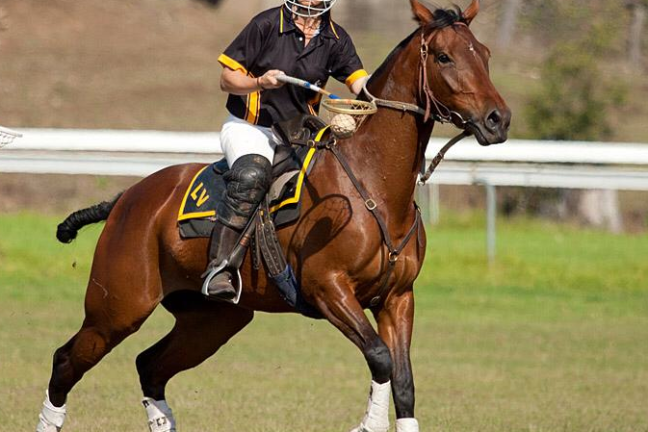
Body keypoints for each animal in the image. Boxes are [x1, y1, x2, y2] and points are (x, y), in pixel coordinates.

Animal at [36, 1, 510, 431]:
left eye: (485, 53)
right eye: (445, 56)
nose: (498, 120)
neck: (375, 185)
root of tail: (127, 197)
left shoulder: (398, 298)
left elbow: (404, 382)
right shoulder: (328, 288)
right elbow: (380, 358)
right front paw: (366, 424)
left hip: (214, 318)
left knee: (149, 365)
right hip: (117, 307)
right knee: (65, 361)